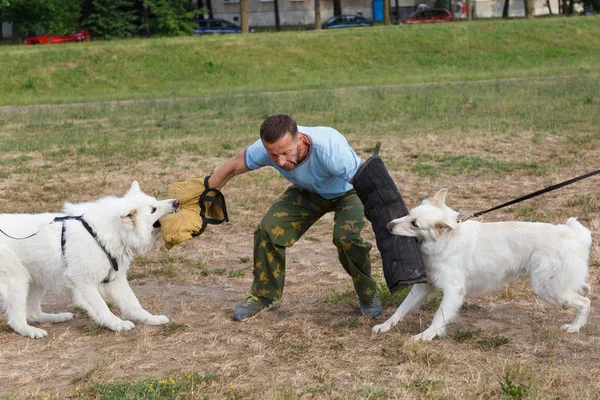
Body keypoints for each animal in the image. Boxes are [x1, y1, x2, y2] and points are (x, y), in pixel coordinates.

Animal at [0, 183, 178, 340]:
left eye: (155, 201)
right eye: (153, 209)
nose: (176, 202)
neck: (102, 234)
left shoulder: (116, 281)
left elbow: (133, 303)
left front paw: (152, 319)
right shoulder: (84, 282)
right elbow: (102, 306)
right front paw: (116, 324)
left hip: (37, 280)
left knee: (32, 313)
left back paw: (57, 317)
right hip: (18, 281)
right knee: (16, 320)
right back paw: (31, 331)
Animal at [372, 189, 592, 340]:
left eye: (415, 224)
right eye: (409, 214)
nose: (388, 225)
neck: (446, 241)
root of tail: (572, 234)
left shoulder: (454, 291)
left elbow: (438, 316)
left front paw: (425, 336)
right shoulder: (423, 287)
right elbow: (401, 309)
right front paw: (385, 326)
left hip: (546, 288)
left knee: (585, 303)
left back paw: (574, 327)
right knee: (582, 288)